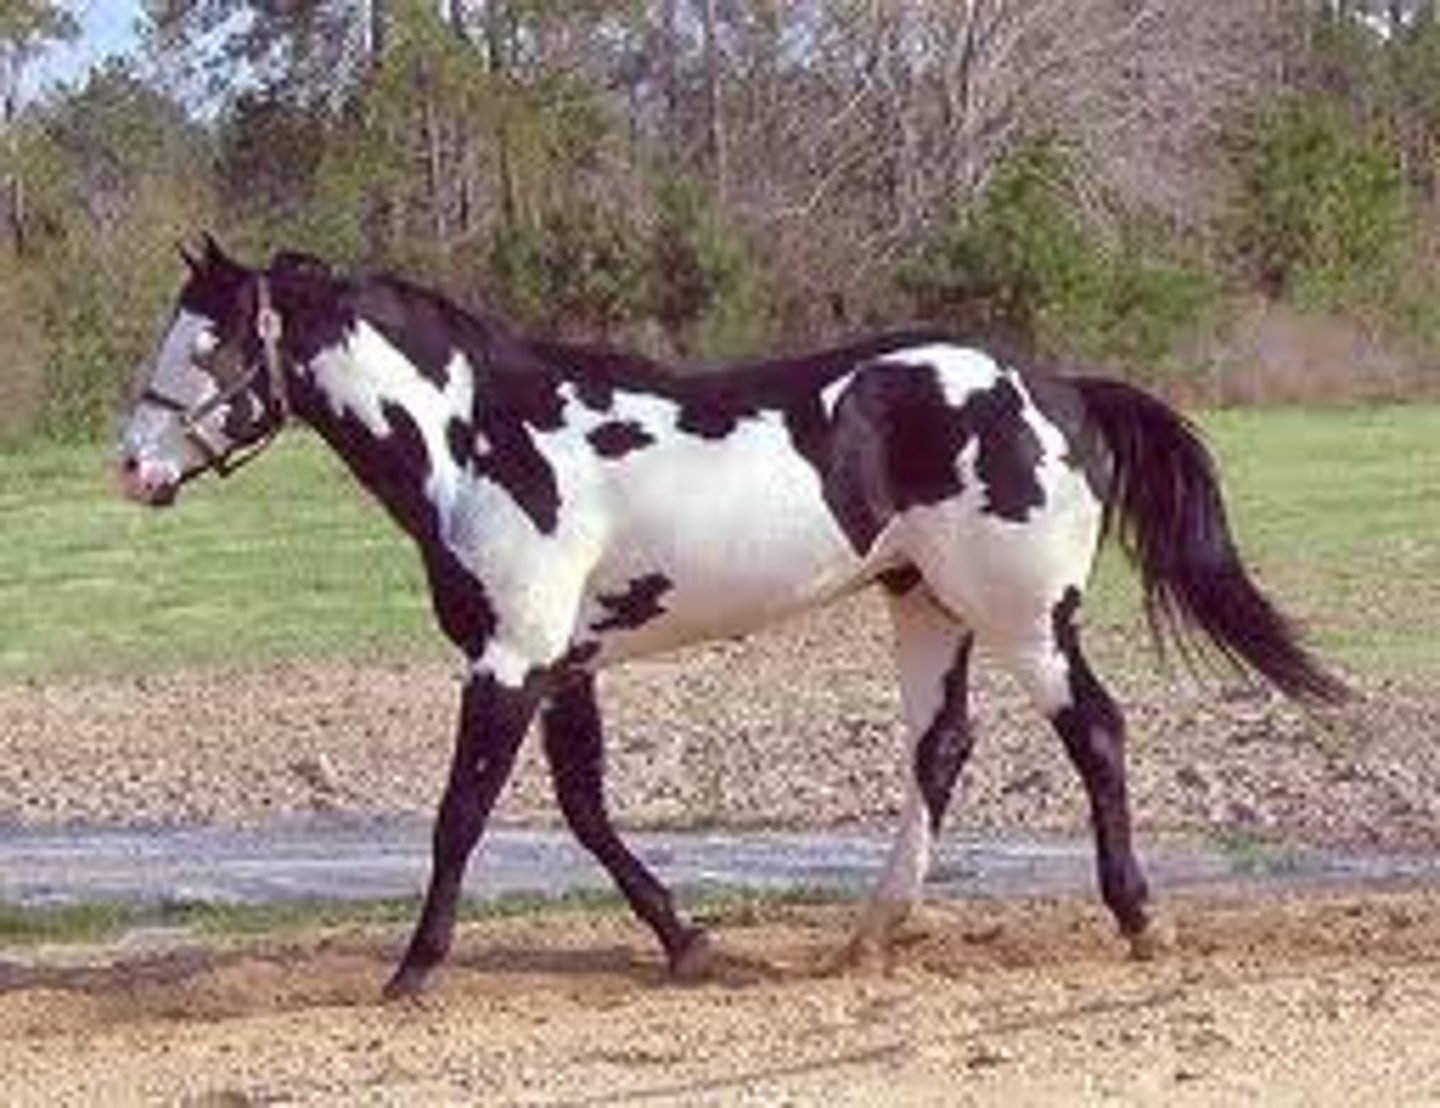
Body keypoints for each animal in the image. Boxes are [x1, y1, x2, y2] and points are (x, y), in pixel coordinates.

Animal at [116, 237, 1347, 997]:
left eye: (213, 344)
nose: (131, 467)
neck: (485, 444)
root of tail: (1062, 390)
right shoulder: (566, 664)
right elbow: (586, 811)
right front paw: (689, 942)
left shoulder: (509, 660)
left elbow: (460, 816)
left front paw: (413, 971)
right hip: (927, 606)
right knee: (941, 748)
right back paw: (872, 935)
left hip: (1026, 618)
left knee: (1095, 731)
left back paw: (1140, 919)